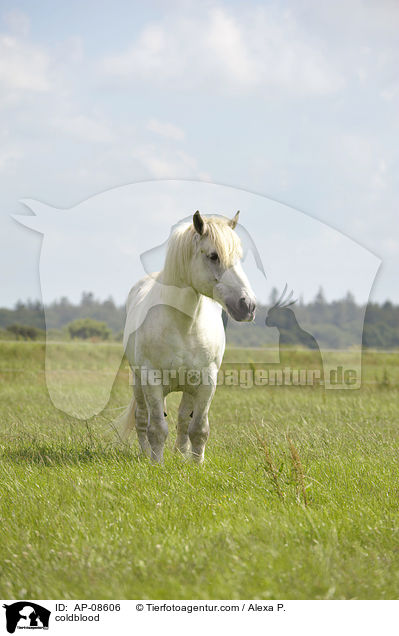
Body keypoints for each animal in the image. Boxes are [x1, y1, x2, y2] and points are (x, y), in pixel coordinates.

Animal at [116, 211, 256, 464]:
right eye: (213, 256)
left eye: (239, 257)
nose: (248, 306)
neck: (184, 327)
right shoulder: (151, 379)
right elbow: (156, 428)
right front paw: (156, 464)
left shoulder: (206, 382)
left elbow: (198, 429)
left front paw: (196, 464)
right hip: (138, 382)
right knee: (142, 419)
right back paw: (145, 454)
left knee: (182, 420)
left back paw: (181, 455)